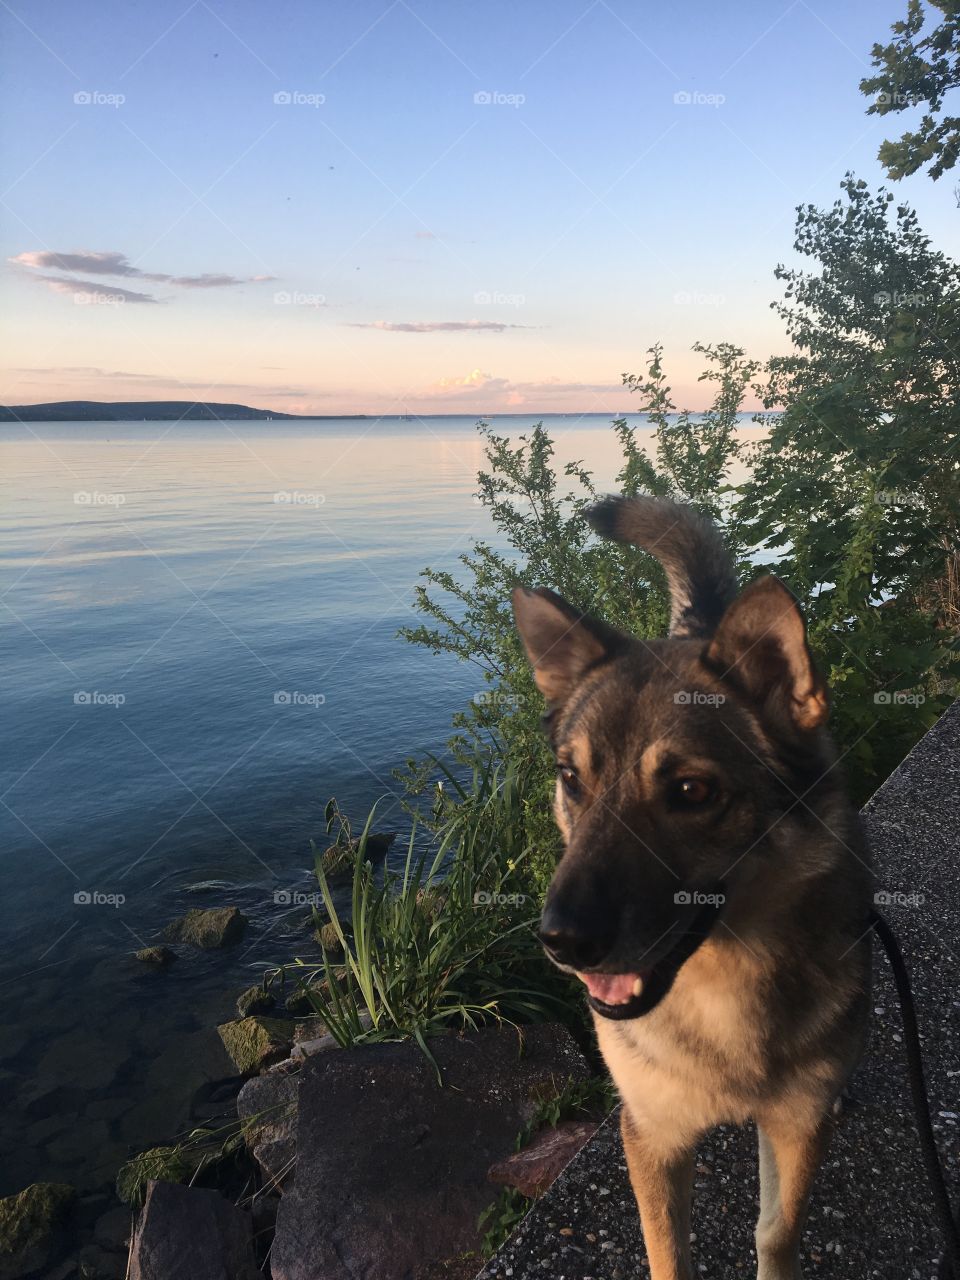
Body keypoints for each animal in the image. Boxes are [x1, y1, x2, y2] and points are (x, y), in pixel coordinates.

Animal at [514, 496, 875, 1280]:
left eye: (690, 791)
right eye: (572, 779)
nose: (561, 942)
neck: (720, 986)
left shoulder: (793, 1127)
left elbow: (776, 1232)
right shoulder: (651, 1133)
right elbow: (667, 1252)